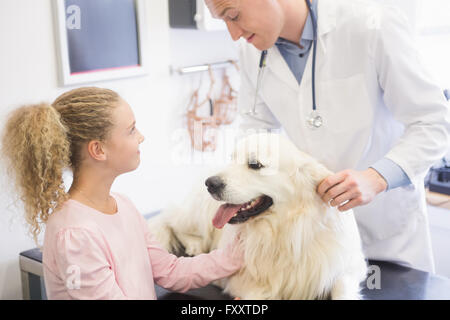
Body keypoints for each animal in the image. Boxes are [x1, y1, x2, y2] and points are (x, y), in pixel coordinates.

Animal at [149, 132, 368, 300]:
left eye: (255, 164)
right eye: (232, 158)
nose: (210, 183)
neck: (285, 229)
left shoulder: (352, 266)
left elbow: (342, 288)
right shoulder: (239, 281)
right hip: (196, 213)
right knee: (169, 221)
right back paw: (194, 244)